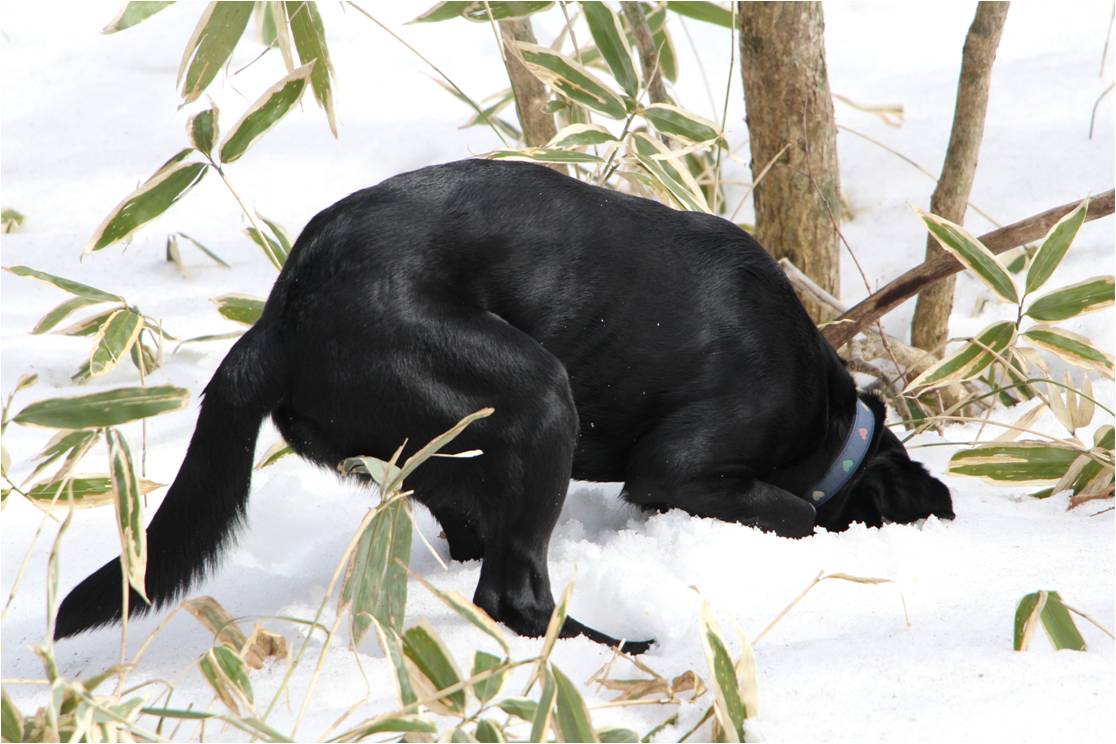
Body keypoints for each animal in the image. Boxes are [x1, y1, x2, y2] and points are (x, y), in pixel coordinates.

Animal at [54, 158, 950, 651]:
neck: (825, 414)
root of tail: (282, 315)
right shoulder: (678, 467)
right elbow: (792, 511)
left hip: (440, 456)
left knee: (479, 553)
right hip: (539, 394)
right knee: (509, 590)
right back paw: (615, 646)